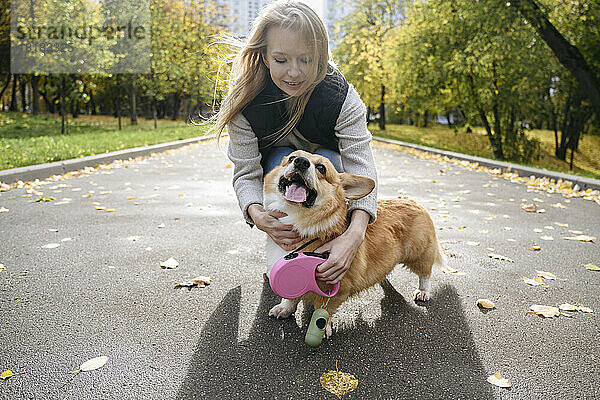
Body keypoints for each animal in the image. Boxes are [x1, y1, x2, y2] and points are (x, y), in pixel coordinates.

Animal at [262, 148, 440, 336]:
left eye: (321, 168)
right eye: (292, 158)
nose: (301, 162)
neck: (299, 222)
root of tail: (411, 200)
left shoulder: (336, 286)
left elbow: (324, 308)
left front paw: (322, 327)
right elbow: (291, 296)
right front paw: (284, 308)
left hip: (419, 255)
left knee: (425, 273)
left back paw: (423, 292)